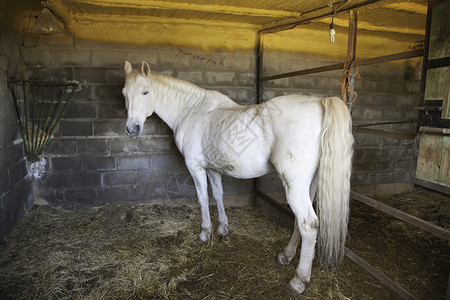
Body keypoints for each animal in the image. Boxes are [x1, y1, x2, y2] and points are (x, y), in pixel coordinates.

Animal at [121, 61, 354, 296]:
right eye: (124, 93)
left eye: (145, 91)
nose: (132, 129)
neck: (192, 110)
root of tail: (319, 102)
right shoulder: (212, 168)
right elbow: (218, 194)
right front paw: (223, 228)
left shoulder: (196, 168)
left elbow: (203, 198)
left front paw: (205, 233)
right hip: (310, 184)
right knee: (300, 222)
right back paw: (286, 255)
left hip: (294, 185)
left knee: (308, 224)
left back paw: (298, 280)